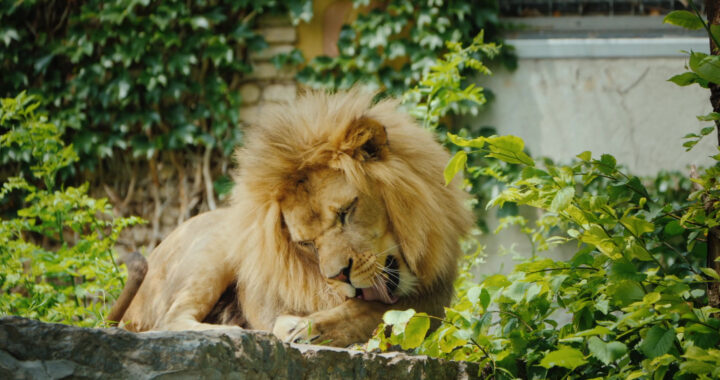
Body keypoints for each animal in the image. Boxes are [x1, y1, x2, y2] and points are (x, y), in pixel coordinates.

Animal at [108, 87, 472, 346]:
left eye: (345, 212)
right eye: (307, 243)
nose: (339, 276)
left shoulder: (435, 299)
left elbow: (378, 311)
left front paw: (310, 327)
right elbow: (371, 310)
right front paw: (300, 328)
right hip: (215, 247)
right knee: (168, 322)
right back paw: (239, 332)